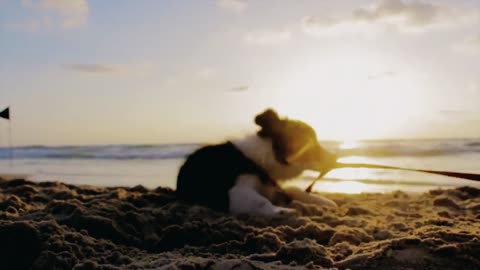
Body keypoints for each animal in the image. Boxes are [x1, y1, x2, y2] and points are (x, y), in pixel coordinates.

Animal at [176, 108, 338, 216]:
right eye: (313, 146)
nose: (335, 157)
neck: (264, 157)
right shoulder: (235, 191)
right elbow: (261, 201)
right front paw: (281, 211)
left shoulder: (272, 187)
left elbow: (294, 191)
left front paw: (324, 202)